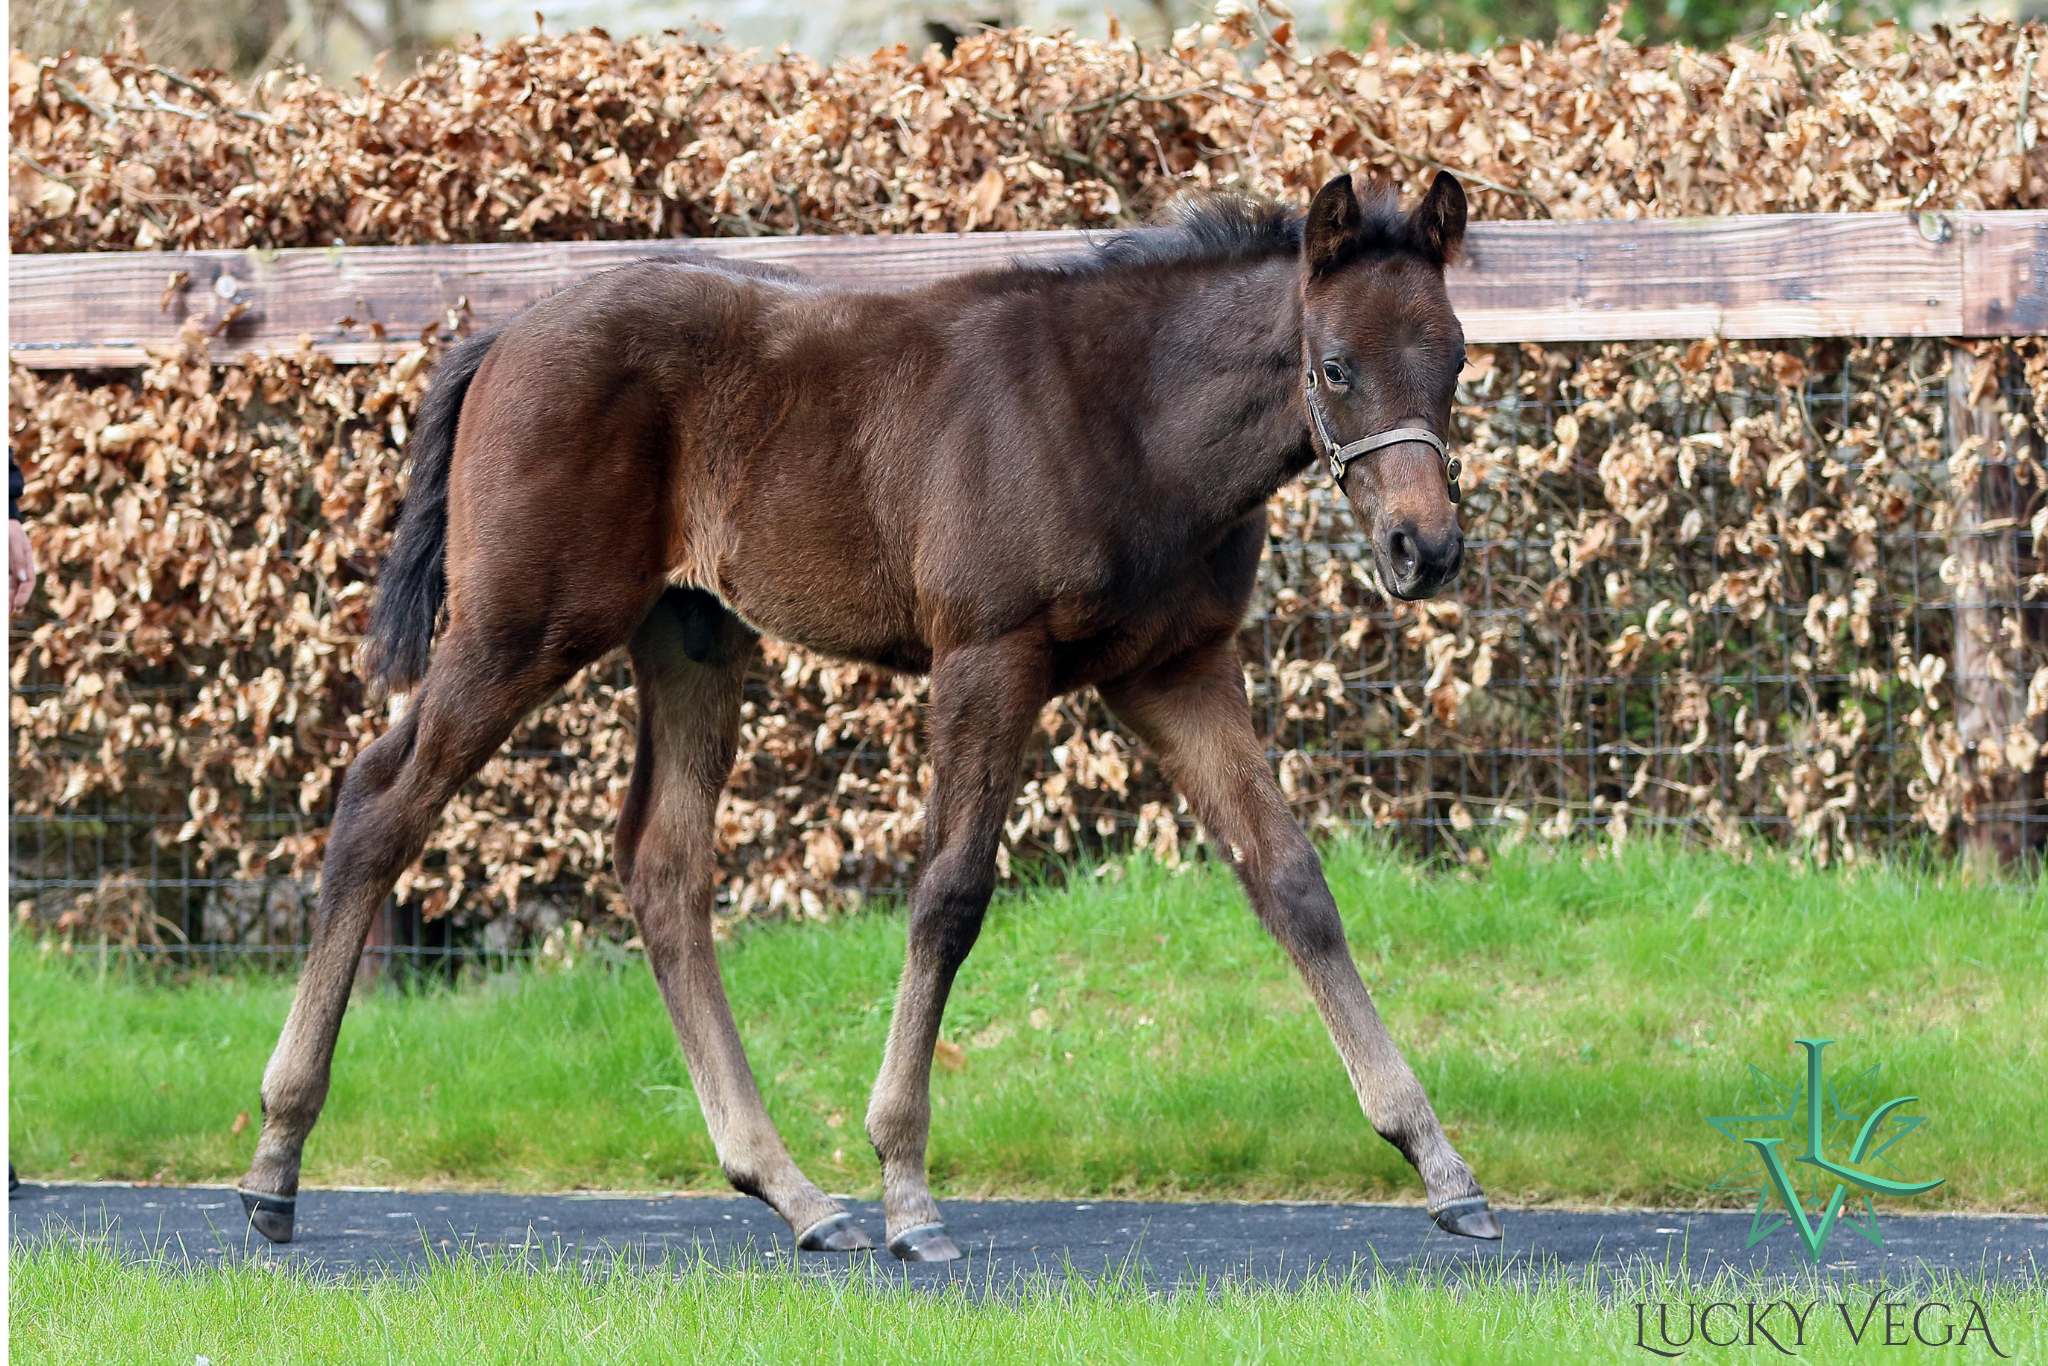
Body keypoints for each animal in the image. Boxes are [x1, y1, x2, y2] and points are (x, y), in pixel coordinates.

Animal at [239, 167, 1507, 1261]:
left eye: (1451, 358)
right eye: (1334, 365)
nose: (1424, 548)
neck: (1125, 414)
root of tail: (499, 339)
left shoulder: (1176, 669)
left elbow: (1290, 881)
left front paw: (1440, 1164)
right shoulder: (986, 658)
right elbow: (948, 895)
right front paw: (906, 1187)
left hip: (689, 633)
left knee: (661, 865)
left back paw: (792, 1193)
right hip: (519, 627)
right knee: (380, 802)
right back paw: (275, 1159)